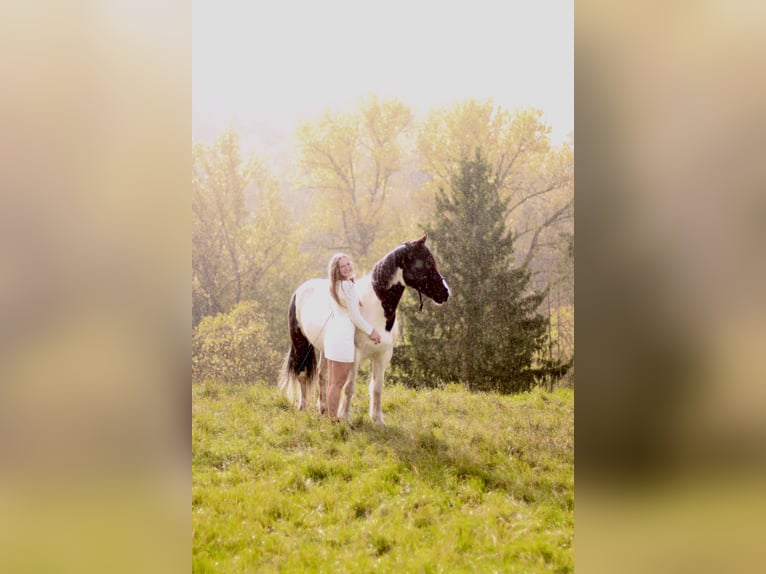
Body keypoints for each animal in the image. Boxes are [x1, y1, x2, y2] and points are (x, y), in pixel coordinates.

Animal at [277, 235, 450, 425]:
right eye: (424, 264)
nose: (445, 293)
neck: (375, 308)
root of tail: (300, 290)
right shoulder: (355, 354)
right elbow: (349, 387)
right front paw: (345, 418)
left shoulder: (383, 355)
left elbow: (377, 388)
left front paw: (378, 421)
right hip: (301, 344)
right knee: (302, 375)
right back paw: (303, 408)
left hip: (324, 349)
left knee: (322, 376)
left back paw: (323, 409)